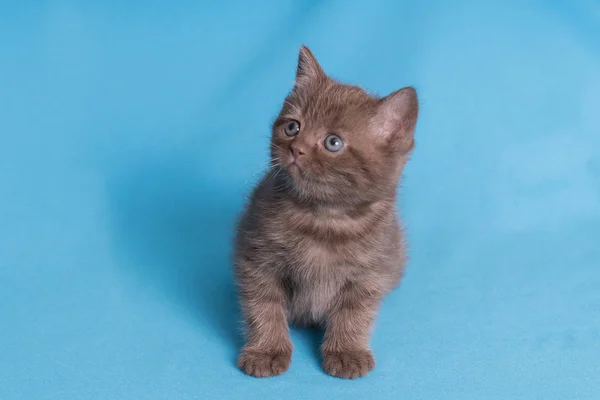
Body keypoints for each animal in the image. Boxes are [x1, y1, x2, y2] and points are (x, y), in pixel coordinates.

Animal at [233, 47, 418, 378]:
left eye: (333, 142)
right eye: (292, 127)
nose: (296, 149)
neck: (322, 218)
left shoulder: (368, 275)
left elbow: (353, 315)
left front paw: (347, 352)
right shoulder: (257, 260)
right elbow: (263, 306)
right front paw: (266, 351)